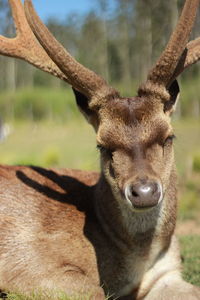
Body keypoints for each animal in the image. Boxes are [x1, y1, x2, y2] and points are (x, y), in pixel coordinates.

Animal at [0, 0, 199, 298]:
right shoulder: (26, 265)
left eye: (168, 136)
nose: (144, 191)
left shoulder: (168, 271)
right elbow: (95, 291)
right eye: (102, 145)